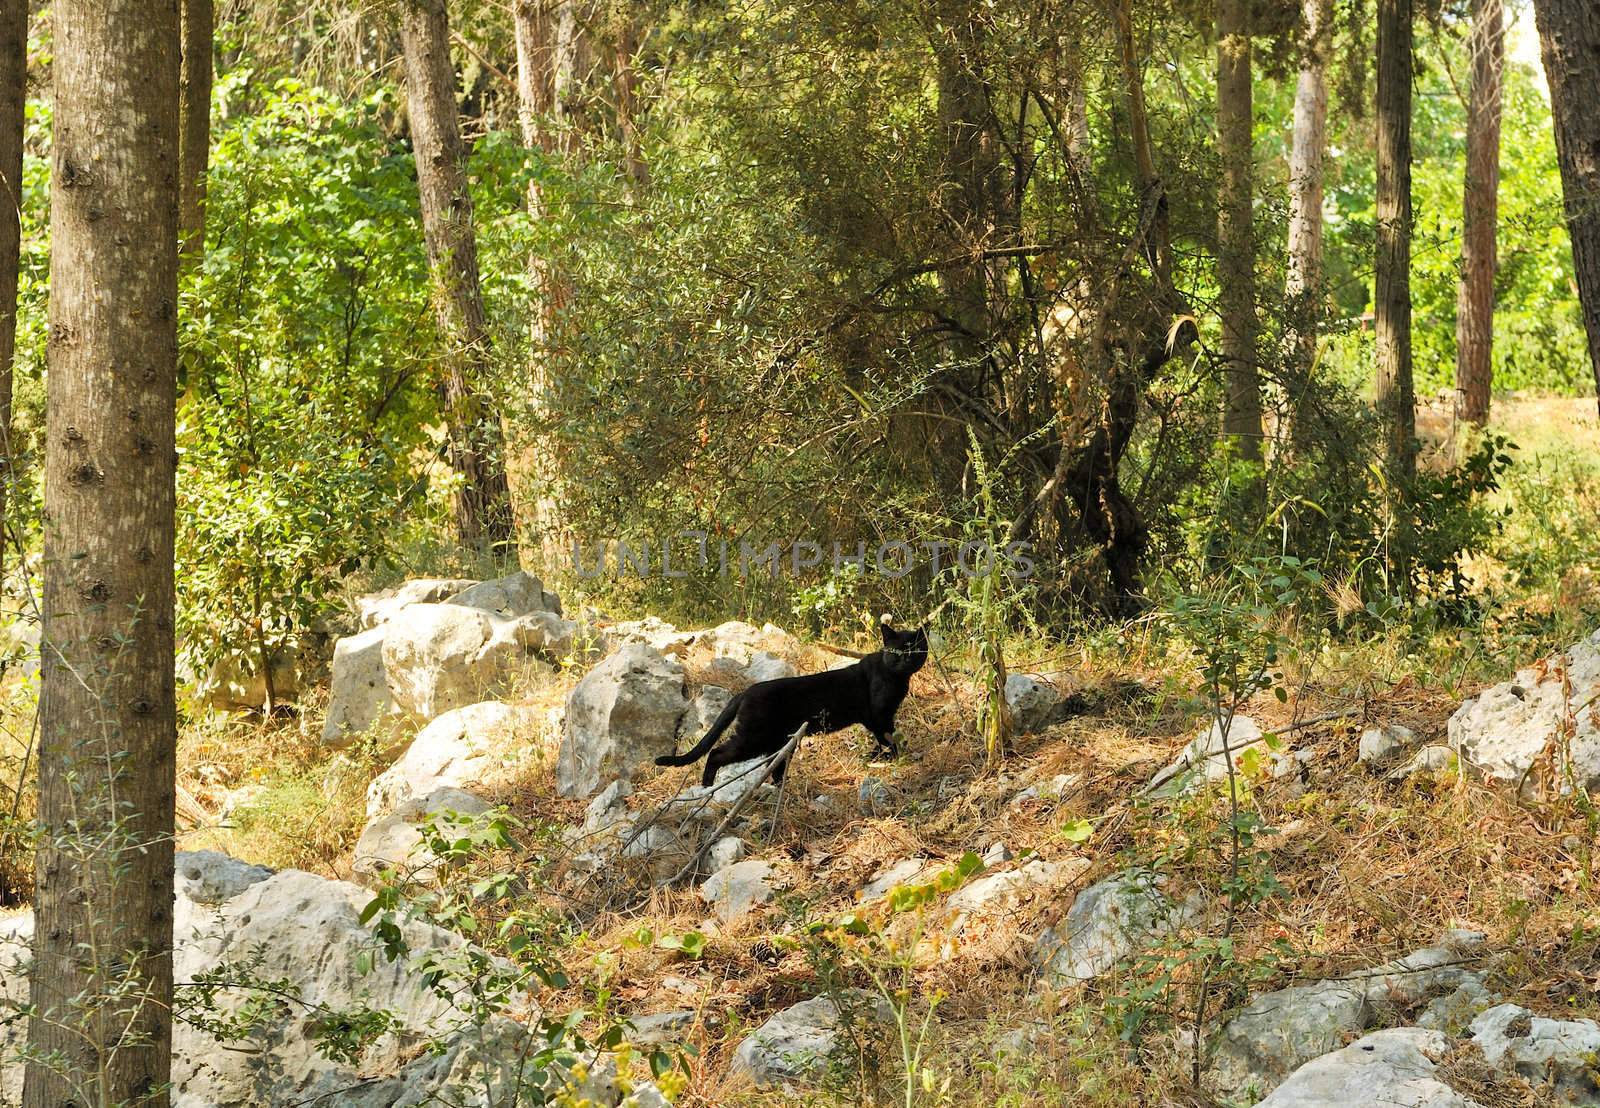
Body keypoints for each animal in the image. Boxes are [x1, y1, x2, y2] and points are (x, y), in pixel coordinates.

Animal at [649, 624, 928, 787]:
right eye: (897, 652)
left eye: (914, 650)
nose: (905, 661)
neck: (897, 678)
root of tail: (745, 692)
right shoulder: (879, 715)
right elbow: (889, 738)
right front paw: (895, 757)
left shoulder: (877, 718)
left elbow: (884, 739)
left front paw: (880, 756)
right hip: (754, 737)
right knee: (717, 753)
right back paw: (708, 785)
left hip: (777, 740)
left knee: (773, 766)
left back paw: (780, 785)